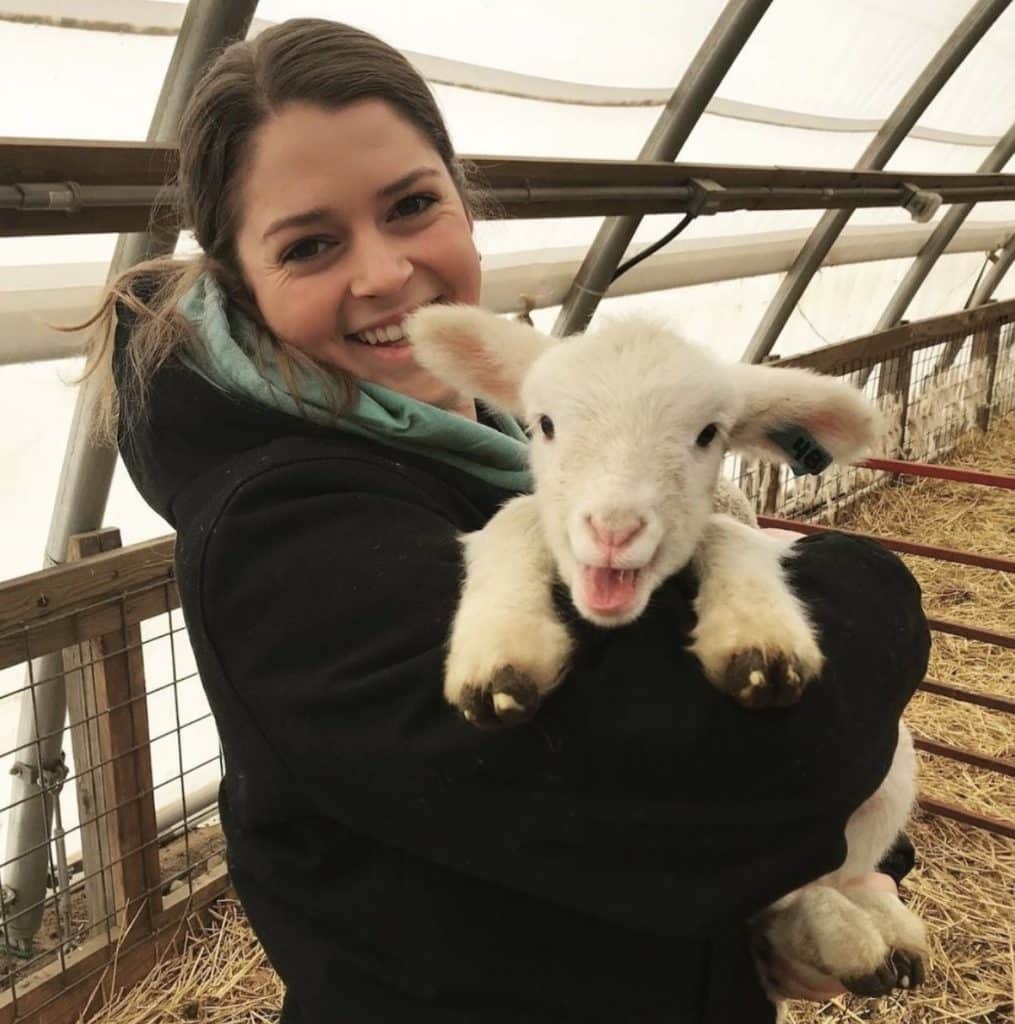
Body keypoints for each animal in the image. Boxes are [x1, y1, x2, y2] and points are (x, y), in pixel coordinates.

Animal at [405, 303, 929, 999]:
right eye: (545, 424)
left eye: (709, 434)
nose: (614, 530)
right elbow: (517, 517)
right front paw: (501, 653)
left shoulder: (743, 527)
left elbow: (731, 535)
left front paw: (758, 640)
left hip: (893, 774)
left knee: (808, 886)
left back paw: (865, 935)